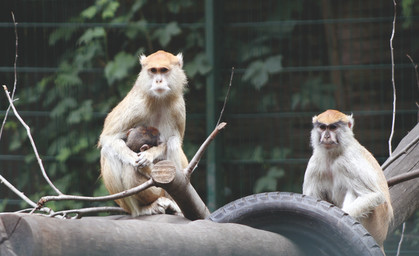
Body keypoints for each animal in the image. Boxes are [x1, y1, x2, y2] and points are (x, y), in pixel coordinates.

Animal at [98, 50, 187, 216]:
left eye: (163, 70)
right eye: (153, 70)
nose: (158, 80)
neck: (159, 100)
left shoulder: (179, 106)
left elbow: (174, 140)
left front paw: (149, 155)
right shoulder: (137, 104)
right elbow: (108, 138)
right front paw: (135, 158)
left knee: (173, 143)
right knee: (108, 151)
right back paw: (141, 210)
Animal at [304, 109, 392, 250]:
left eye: (333, 127)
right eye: (322, 127)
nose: (326, 136)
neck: (333, 155)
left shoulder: (346, 160)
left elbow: (374, 195)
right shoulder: (314, 163)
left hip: (377, 222)